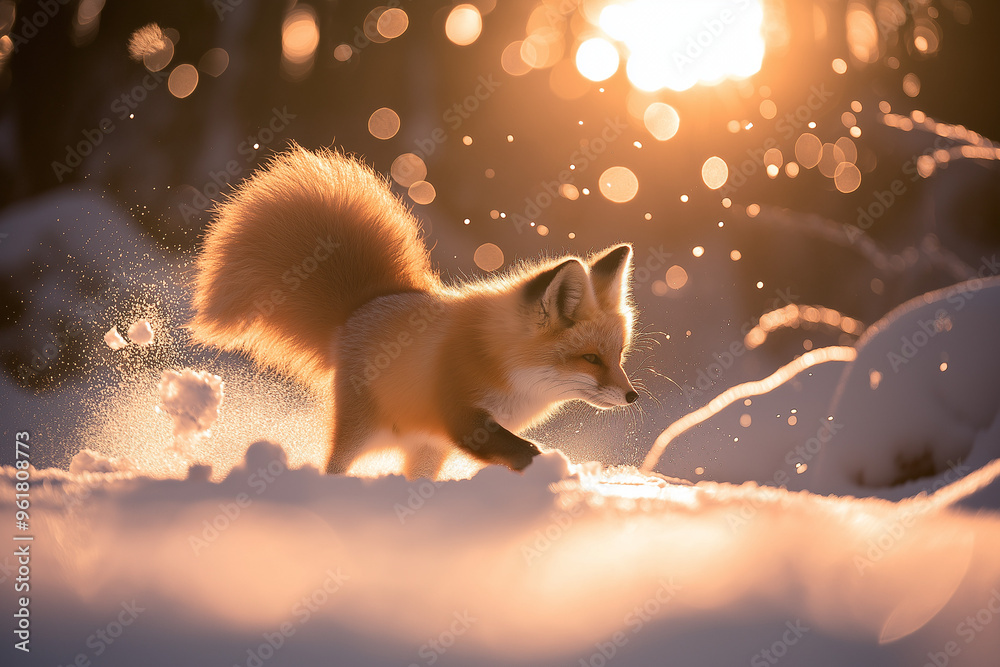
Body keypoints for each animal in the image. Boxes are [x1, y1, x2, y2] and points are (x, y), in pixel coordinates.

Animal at [190, 143, 639, 478]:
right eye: (590, 359)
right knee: (334, 466)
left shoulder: (455, 433)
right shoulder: (462, 417)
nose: (633, 396)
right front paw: (560, 474)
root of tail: (363, 306)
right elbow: (521, 450)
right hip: (363, 432)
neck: (506, 365)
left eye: (618, 356)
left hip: (424, 447)